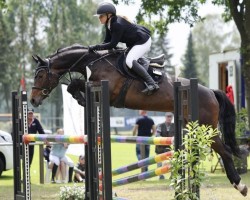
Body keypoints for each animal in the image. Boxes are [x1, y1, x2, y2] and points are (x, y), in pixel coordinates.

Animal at [29, 44, 248, 196]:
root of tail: (210, 92)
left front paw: (81, 98)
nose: (33, 100)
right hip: (194, 128)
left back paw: (240, 185)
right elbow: (73, 85)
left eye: (40, 75)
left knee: (225, 152)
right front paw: (81, 99)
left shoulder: (108, 90)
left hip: (206, 128)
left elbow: (74, 84)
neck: (93, 62)